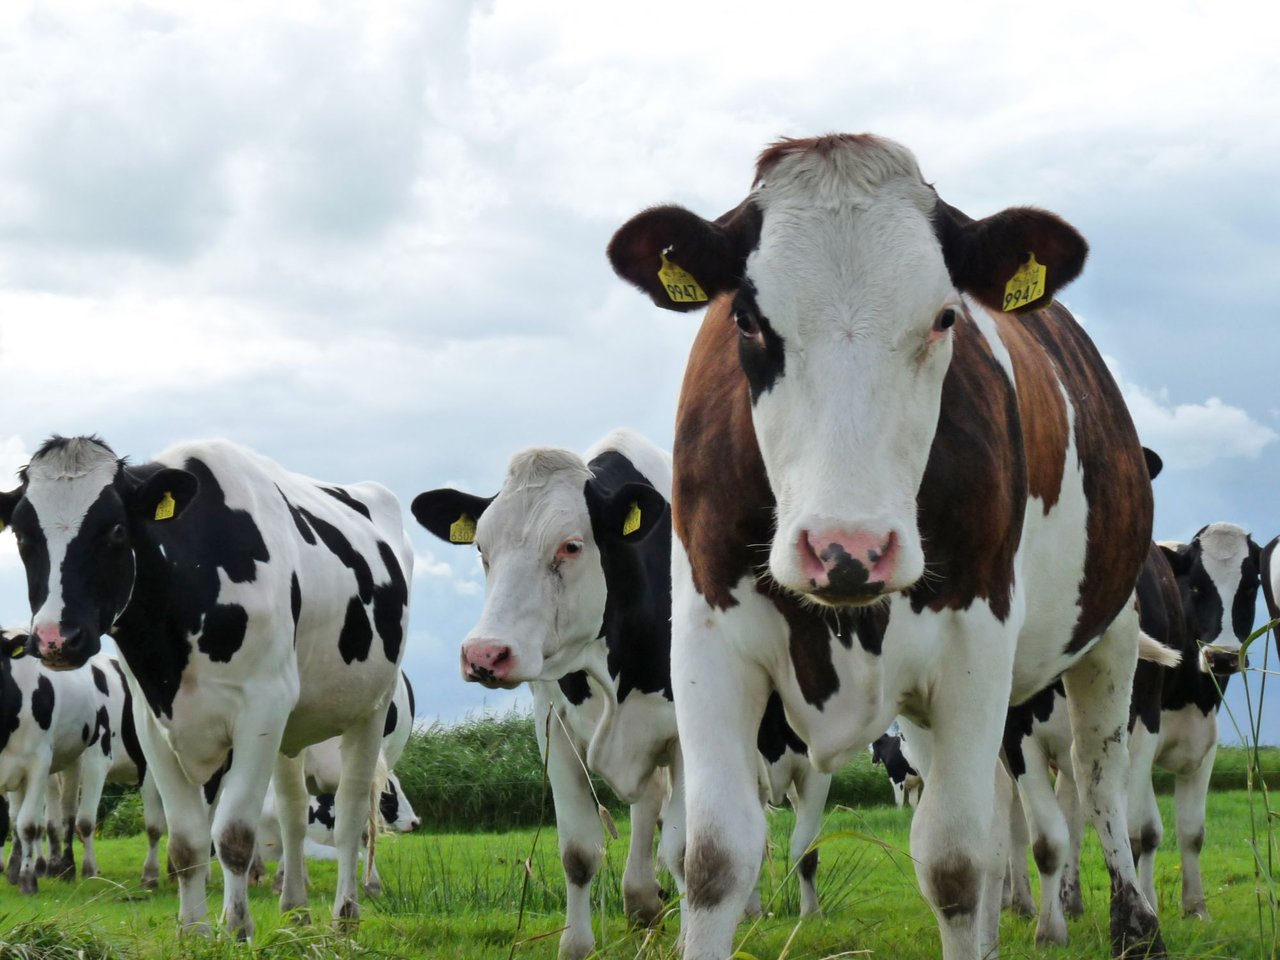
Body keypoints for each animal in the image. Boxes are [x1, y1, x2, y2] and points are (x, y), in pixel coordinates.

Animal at [0, 440, 409, 936]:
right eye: (23, 536)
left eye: (115, 530)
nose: (56, 640)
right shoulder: (153, 725)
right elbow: (187, 842)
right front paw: (193, 931)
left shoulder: (260, 708)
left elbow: (232, 835)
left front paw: (235, 930)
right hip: (292, 729)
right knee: (293, 814)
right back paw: (294, 909)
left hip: (371, 709)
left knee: (351, 815)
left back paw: (345, 916)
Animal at [412, 432, 829, 957]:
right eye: (483, 549)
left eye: (571, 546)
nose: (485, 654)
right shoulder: (554, 729)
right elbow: (578, 851)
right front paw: (576, 944)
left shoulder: (688, 736)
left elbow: (686, 849)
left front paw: (689, 939)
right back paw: (651, 902)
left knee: (797, 845)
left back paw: (801, 913)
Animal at [611, 135, 1172, 960]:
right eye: (746, 317)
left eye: (944, 317)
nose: (847, 548)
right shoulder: (709, 641)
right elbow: (713, 858)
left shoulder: (976, 641)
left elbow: (954, 862)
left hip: (1110, 635)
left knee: (1098, 778)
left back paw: (1137, 928)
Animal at [1131, 527, 1259, 926]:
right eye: (1196, 586)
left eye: (1252, 585)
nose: (1222, 658)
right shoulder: (1140, 738)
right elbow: (1146, 830)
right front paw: (1146, 905)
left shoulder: (1206, 746)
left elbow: (1191, 832)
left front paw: (1195, 908)